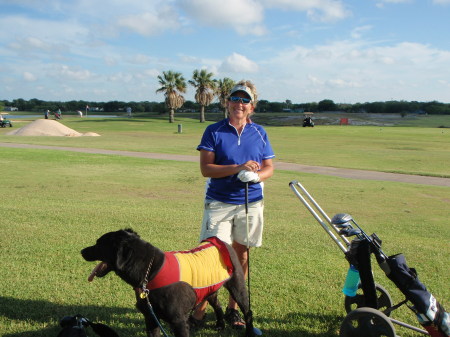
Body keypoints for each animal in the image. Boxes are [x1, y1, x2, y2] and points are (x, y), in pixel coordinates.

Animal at [81, 228, 255, 336]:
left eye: (98, 243)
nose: (82, 251)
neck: (151, 272)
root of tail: (220, 241)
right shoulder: (151, 318)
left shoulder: (179, 322)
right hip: (209, 288)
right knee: (217, 304)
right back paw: (220, 325)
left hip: (238, 286)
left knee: (248, 312)